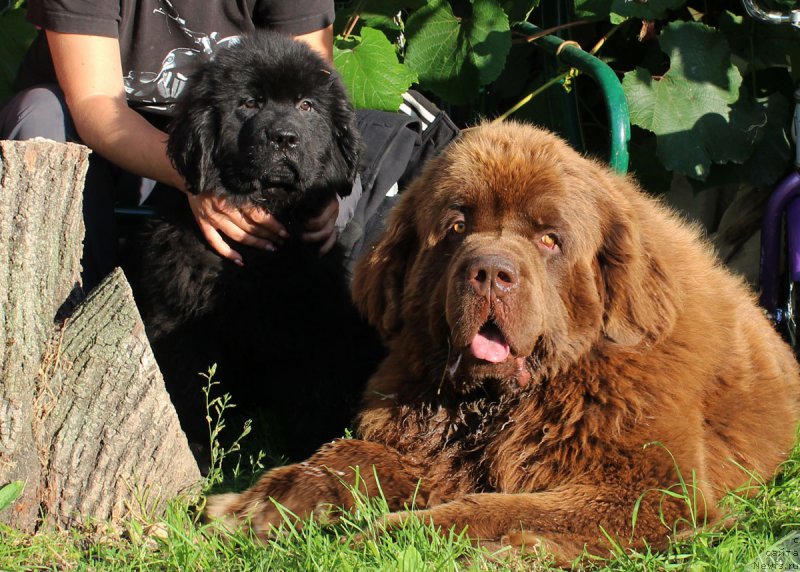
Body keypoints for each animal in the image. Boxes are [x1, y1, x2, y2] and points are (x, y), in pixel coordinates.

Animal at [133, 30, 376, 460]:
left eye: (306, 105)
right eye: (249, 103)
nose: (285, 138)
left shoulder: (310, 320)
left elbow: (311, 393)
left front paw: (312, 453)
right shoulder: (182, 322)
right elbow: (192, 392)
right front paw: (200, 450)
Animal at [206, 122, 800, 564]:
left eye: (549, 239)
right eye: (456, 226)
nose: (491, 271)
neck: (495, 407)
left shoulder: (646, 489)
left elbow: (495, 507)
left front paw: (388, 536)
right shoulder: (427, 448)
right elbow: (347, 455)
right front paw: (259, 505)